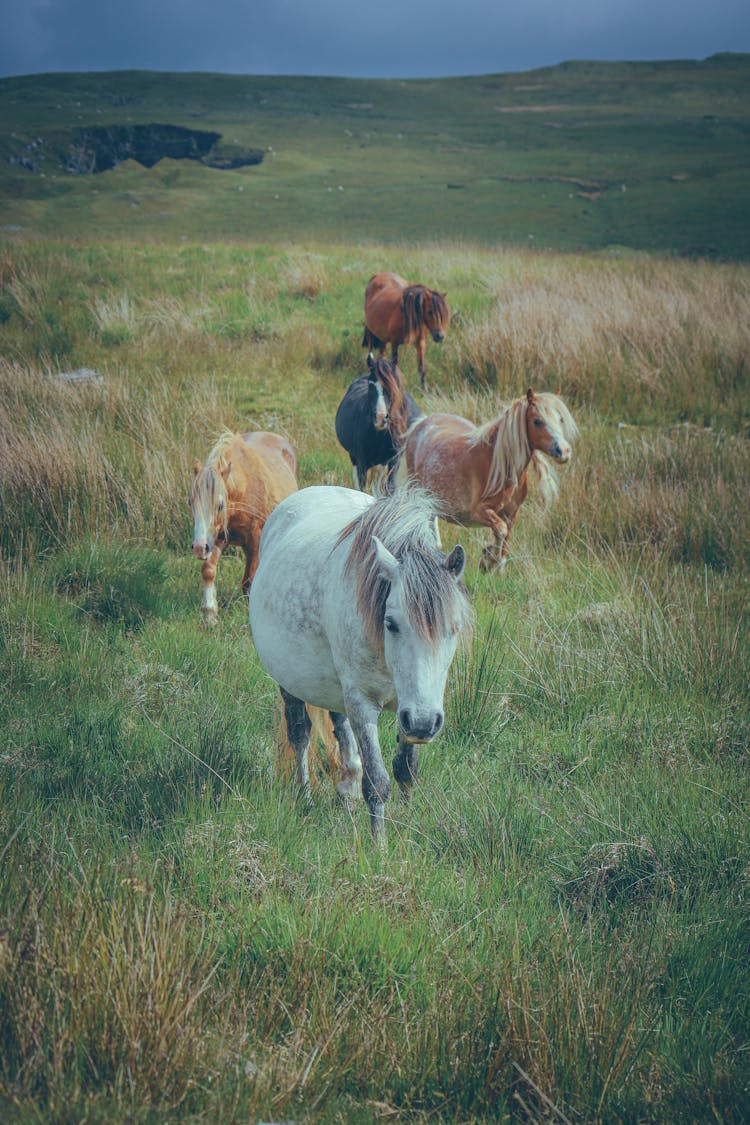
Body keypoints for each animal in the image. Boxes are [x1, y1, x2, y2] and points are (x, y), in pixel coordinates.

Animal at [188, 432, 296, 625]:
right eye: (190, 502)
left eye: (220, 505)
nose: (199, 548)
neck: (243, 489)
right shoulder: (218, 538)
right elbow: (208, 570)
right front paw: (210, 614)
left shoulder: (255, 538)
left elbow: (249, 581)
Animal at [247, 479, 470, 841]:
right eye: (391, 623)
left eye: (453, 627)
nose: (424, 723)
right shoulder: (364, 704)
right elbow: (377, 783)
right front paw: (379, 847)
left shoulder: (410, 706)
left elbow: (405, 769)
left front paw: (407, 825)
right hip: (290, 681)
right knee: (300, 734)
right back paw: (306, 798)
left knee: (340, 728)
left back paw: (346, 788)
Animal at [335, 353, 422, 490]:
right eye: (371, 384)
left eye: (392, 385)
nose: (380, 418)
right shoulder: (362, 462)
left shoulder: (394, 461)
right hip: (355, 458)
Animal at [398, 393, 580, 571]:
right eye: (537, 421)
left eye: (560, 419)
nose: (564, 451)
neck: (498, 467)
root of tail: (422, 422)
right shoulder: (479, 512)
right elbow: (501, 530)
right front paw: (489, 560)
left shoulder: (511, 514)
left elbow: (506, 536)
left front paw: (494, 561)